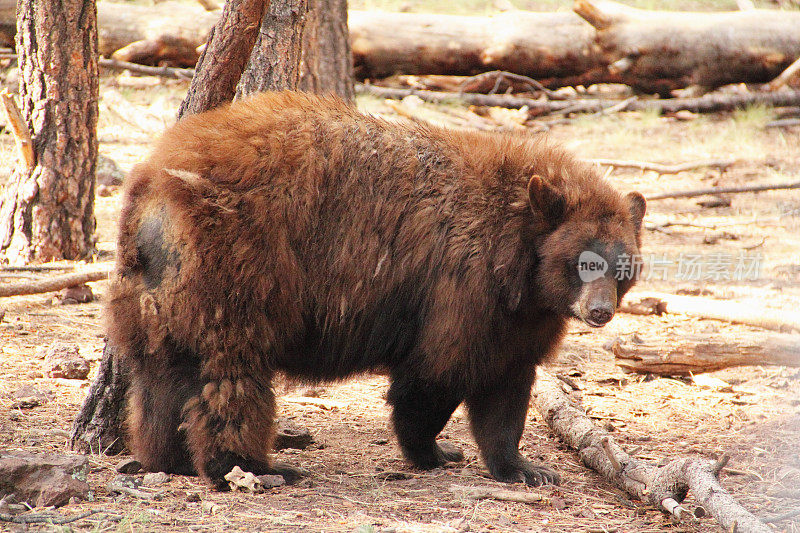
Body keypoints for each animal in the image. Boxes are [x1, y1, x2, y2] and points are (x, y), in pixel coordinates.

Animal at [106, 90, 648, 486]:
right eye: (585, 262)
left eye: (622, 266)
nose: (600, 311)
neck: (518, 259)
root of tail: (154, 191)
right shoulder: (462, 286)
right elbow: (438, 370)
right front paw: (433, 448)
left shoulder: (519, 317)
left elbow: (505, 385)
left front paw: (524, 467)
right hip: (237, 266)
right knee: (229, 373)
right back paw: (255, 466)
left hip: (154, 296)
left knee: (160, 376)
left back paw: (166, 457)